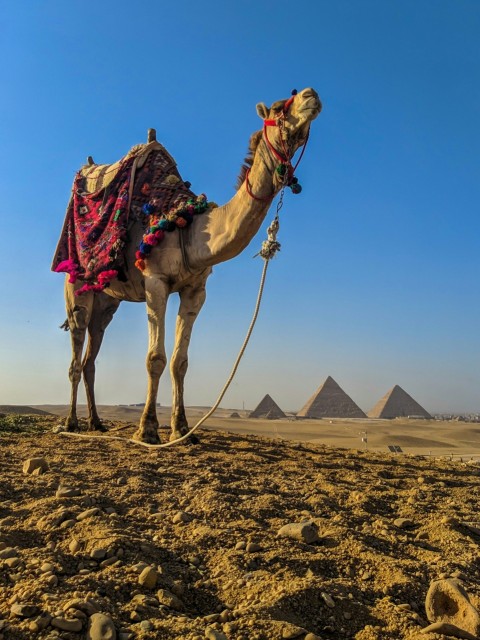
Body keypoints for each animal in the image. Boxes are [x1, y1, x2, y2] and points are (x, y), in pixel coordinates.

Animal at [59, 88, 321, 443]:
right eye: (281, 107)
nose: (312, 95)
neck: (192, 229)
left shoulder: (196, 289)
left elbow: (180, 362)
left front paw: (182, 429)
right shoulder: (155, 282)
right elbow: (155, 358)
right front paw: (148, 429)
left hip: (108, 301)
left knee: (91, 354)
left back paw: (96, 423)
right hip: (77, 286)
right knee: (76, 347)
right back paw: (72, 422)